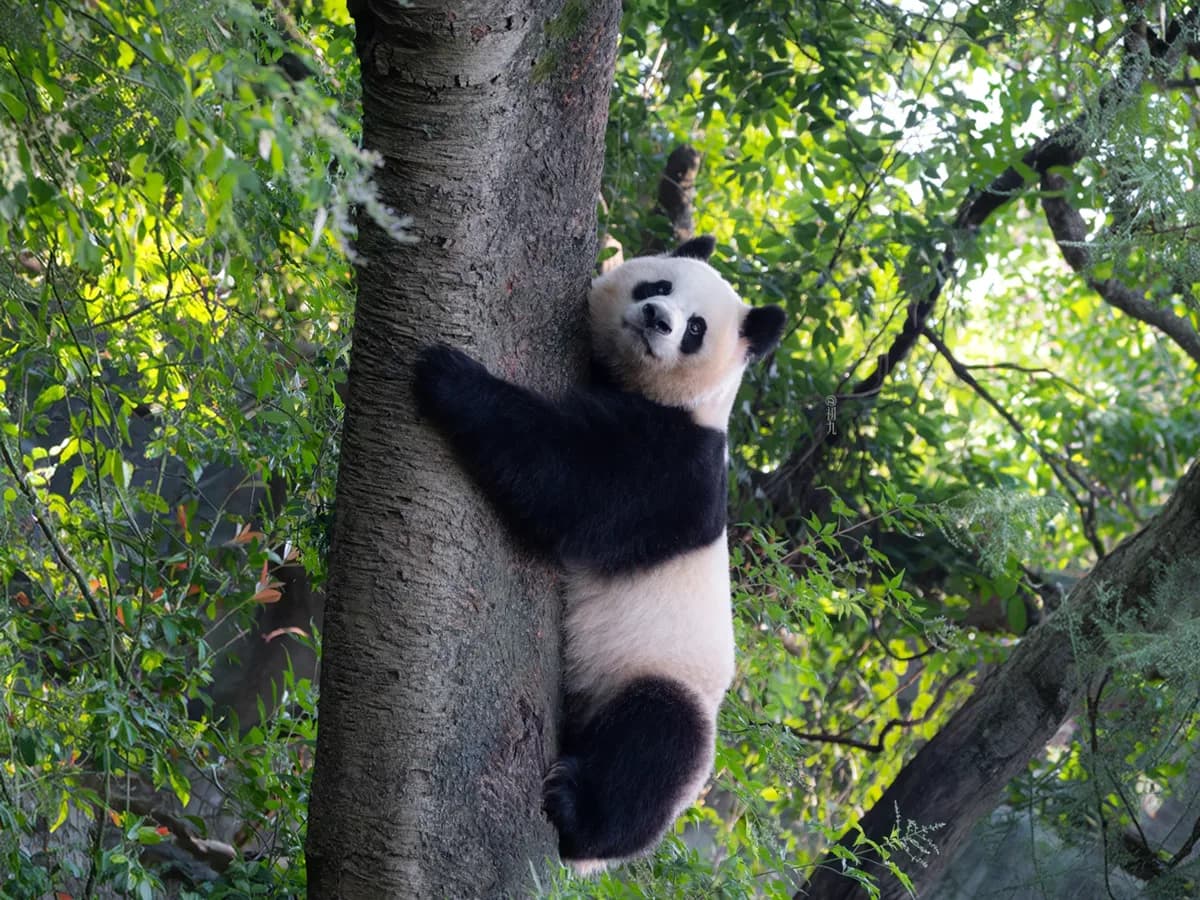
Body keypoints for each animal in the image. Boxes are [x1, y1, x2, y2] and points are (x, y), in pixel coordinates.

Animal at [413, 235, 785, 872]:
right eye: (659, 286)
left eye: (696, 329)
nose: (657, 319)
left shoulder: (677, 469)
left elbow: (572, 480)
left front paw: (448, 376)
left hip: (664, 680)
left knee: (655, 743)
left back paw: (578, 814)